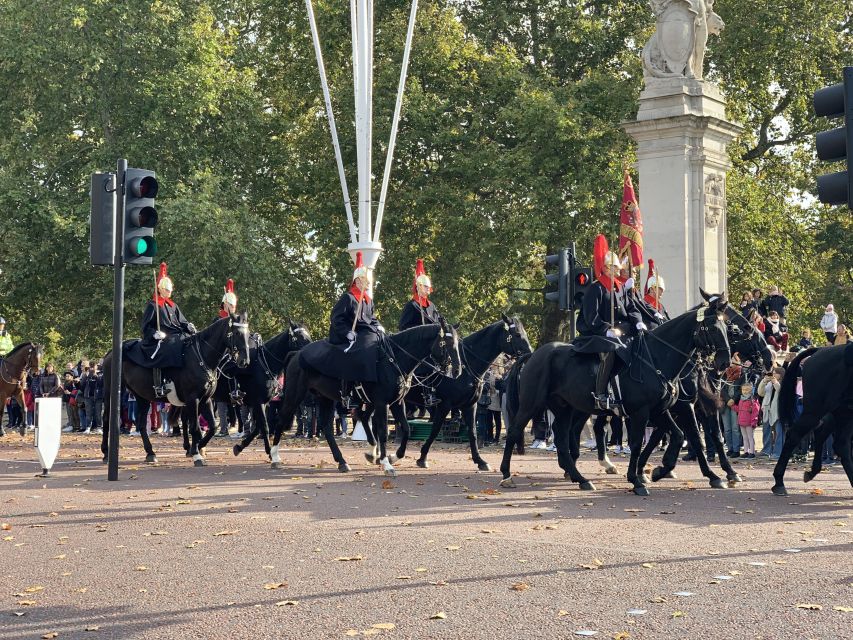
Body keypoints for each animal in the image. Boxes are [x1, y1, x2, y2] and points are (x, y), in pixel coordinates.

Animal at [100, 314, 250, 464]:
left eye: (248, 334)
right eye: (237, 333)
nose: (245, 361)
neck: (202, 357)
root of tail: (111, 352)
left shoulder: (205, 399)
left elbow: (211, 426)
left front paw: (198, 446)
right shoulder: (193, 399)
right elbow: (194, 426)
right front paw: (196, 453)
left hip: (141, 396)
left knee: (141, 422)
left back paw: (150, 453)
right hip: (111, 392)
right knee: (107, 419)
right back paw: (106, 453)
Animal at [272, 320, 460, 476]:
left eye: (458, 343)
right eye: (445, 343)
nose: (457, 371)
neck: (394, 359)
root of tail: (296, 354)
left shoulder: (397, 403)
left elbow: (406, 429)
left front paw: (393, 457)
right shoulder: (382, 403)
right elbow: (383, 432)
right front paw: (386, 463)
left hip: (326, 398)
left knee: (328, 426)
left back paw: (343, 461)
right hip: (295, 395)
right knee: (281, 419)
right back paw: (274, 457)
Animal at [354, 314, 528, 470]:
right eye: (517, 334)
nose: (528, 354)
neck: (467, 367)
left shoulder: (470, 406)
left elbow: (472, 432)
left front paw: (480, 461)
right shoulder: (444, 405)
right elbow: (435, 429)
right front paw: (422, 458)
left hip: (375, 400)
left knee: (367, 418)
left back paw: (375, 454)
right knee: (370, 420)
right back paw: (377, 454)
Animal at [502, 296, 728, 496]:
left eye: (728, 328)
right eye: (714, 328)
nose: (724, 362)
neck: (655, 359)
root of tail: (535, 354)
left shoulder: (661, 410)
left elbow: (680, 435)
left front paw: (659, 471)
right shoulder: (643, 412)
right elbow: (637, 443)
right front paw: (637, 479)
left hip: (565, 408)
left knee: (564, 437)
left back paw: (580, 478)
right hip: (532, 404)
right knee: (514, 431)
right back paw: (506, 475)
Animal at [768, 344, 852, 496]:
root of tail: (819, 350)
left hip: (843, 413)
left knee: (837, 443)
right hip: (817, 411)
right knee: (795, 435)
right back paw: (779, 482)